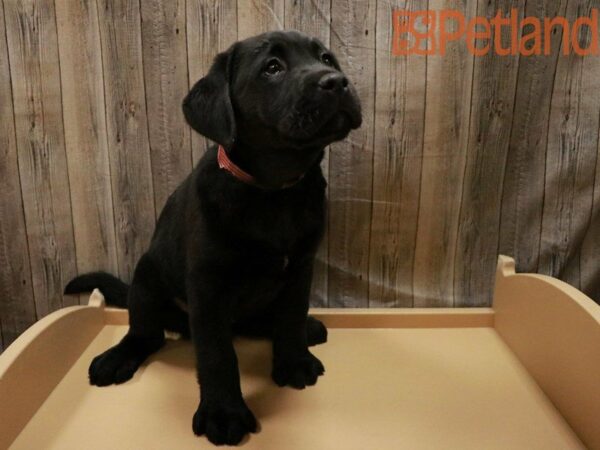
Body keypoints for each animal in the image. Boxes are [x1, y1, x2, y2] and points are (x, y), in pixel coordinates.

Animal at [64, 29, 360, 444]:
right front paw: (224, 413)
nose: (337, 81)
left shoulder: (301, 268)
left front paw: (294, 361)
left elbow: (289, 316)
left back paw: (308, 328)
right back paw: (118, 357)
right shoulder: (208, 286)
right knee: (146, 333)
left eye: (327, 59)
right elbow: (217, 353)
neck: (274, 192)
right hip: (147, 278)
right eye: (273, 67)